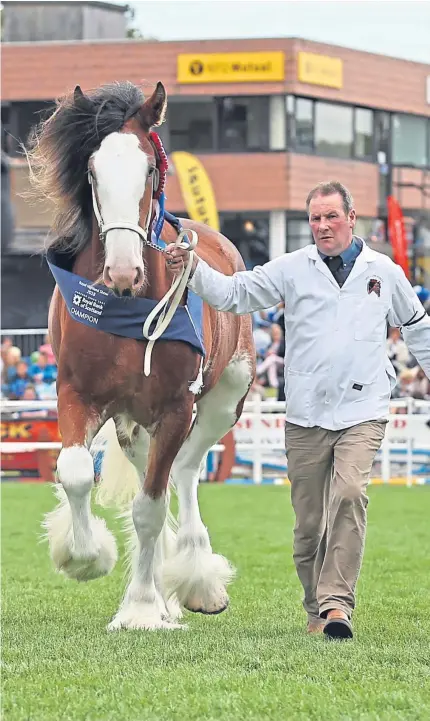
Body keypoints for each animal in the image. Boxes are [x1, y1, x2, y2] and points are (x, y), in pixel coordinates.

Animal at [28, 81, 256, 628]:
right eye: (92, 171)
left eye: (149, 169)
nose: (123, 270)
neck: (125, 307)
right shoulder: (77, 395)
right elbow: (74, 472)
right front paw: (85, 558)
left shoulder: (176, 408)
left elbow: (150, 508)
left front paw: (141, 608)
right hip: (133, 425)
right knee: (158, 472)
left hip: (220, 403)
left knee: (186, 472)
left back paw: (195, 581)